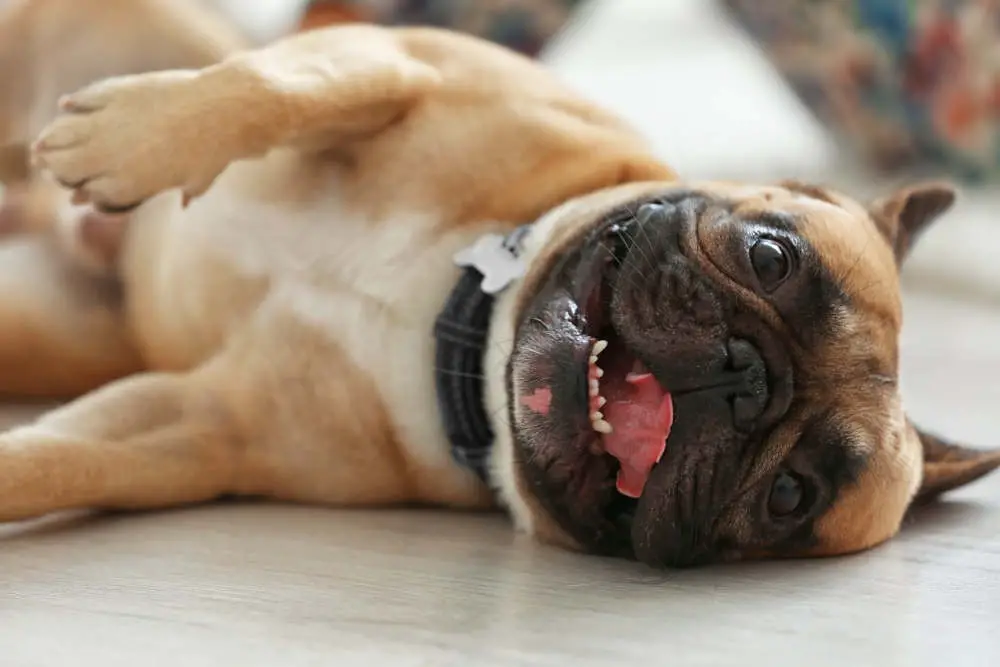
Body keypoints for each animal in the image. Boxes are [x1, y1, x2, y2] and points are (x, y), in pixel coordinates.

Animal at [0, 0, 996, 568]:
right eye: (770, 258)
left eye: (791, 496)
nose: (744, 376)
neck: (462, 329)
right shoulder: (404, 63)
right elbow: (278, 82)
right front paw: (130, 139)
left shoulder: (201, 426)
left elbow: (62, 460)